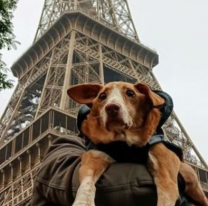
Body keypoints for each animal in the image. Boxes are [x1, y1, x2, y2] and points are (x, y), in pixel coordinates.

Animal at [67, 81, 207, 206]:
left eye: (130, 93)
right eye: (102, 96)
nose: (111, 108)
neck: (125, 141)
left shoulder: (166, 177)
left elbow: (164, 198)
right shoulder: (94, 157)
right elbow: (86, 184)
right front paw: (82, 202)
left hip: (192, 181)